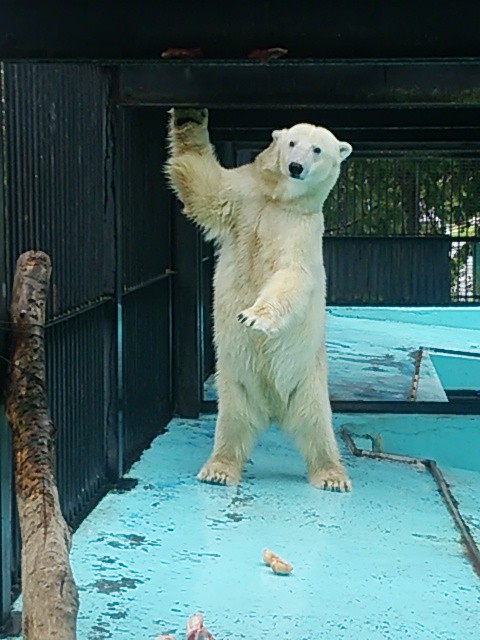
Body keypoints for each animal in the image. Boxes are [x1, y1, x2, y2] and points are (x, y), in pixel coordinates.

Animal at [166, 109, 352, 490]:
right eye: (292, 142)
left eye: (317, 150)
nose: (295, 166)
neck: (279, 199)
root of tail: (274, 409)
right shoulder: (244, 196)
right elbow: (205, 185)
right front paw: (189, 116)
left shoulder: (301, 230)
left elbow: (292, 276)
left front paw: (254, 317)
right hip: (236, 384)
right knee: (232, 425)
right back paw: (218, 469)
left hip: (308, 381)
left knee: (318, 428)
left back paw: (331, 474)